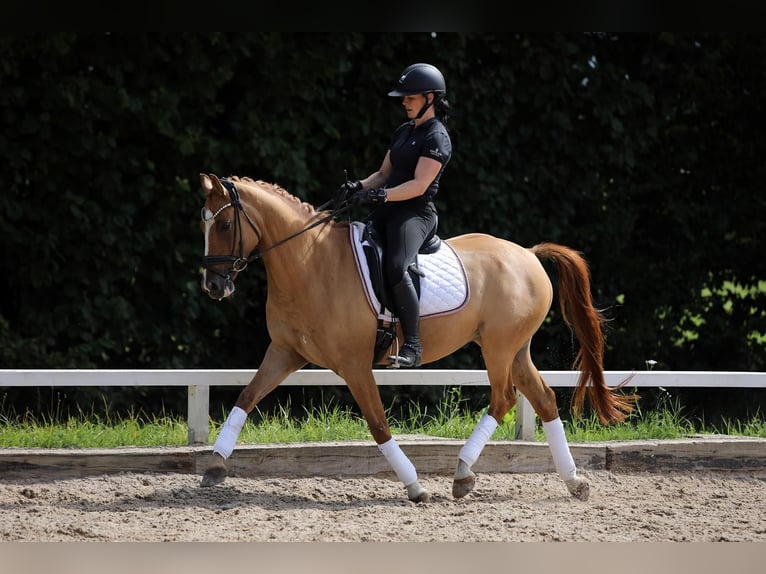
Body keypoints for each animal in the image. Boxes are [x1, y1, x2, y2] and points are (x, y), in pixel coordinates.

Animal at [196, 174, 636, 504]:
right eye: (204, 224)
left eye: (224, 225)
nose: (213, 286)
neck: (309, 263)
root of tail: (527, 252)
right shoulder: (285, 352)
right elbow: (246, 397)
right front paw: (215, 467)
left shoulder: (354, 364)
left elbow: (377, 424)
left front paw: (415, 486)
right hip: (514, 348)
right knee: (541, 399)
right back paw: (573, 482)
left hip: (498, 347)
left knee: (504, 399)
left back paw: (463, 474)